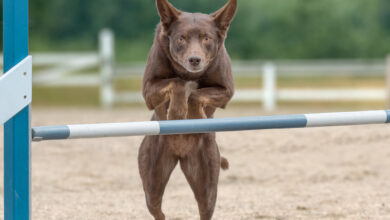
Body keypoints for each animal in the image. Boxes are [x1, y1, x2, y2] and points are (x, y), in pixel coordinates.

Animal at [139, 0, 238, 218]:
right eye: (181, 38)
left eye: (207, 38)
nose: (194, 59)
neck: (189, 72)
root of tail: (180, 153)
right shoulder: (148, 91)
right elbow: (177, 82)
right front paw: (177, 112)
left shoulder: (226, 91)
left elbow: (195, 94)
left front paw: (193, 116)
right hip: (152, 178)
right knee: (157, 209)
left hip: (206, 180)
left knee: (205, 207)